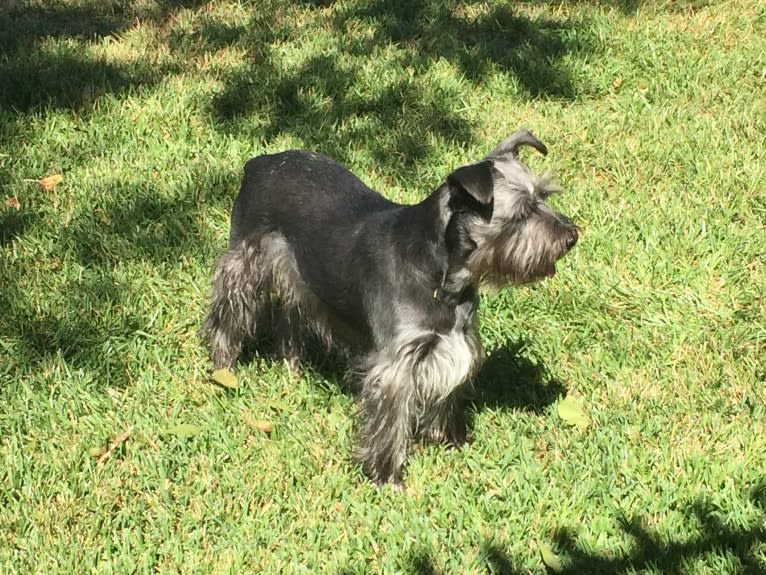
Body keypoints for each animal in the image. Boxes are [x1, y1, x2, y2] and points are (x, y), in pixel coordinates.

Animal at [201, 130, 580, 486]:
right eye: (522, 214)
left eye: (544, 197)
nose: (571, 236)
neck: (440, 277)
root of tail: (259, 163)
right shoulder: (396, 367)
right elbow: (391, 420)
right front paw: (385, 474)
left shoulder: (453, 345)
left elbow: (446, 394)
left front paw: (446, 440)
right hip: (244, 266)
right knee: (227, 318)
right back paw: (224, 370)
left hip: (300, 278)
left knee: (289, 321)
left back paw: (291, 367)